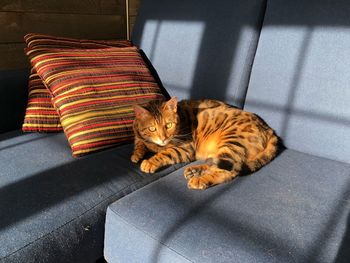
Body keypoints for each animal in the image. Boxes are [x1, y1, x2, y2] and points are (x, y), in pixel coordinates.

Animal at [131, 97, 278, 190]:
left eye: (169, 125)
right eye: (152, 128)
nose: (163, 138)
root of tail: (269, 129)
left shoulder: (185, 148)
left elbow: (165, 153)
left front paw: (150, 162)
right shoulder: (139, 134)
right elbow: (139, 142)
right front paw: (136, 155)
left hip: (231, 142)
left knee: (230, 171)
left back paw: (199, 180)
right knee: (218, 163)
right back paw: (195, 171)